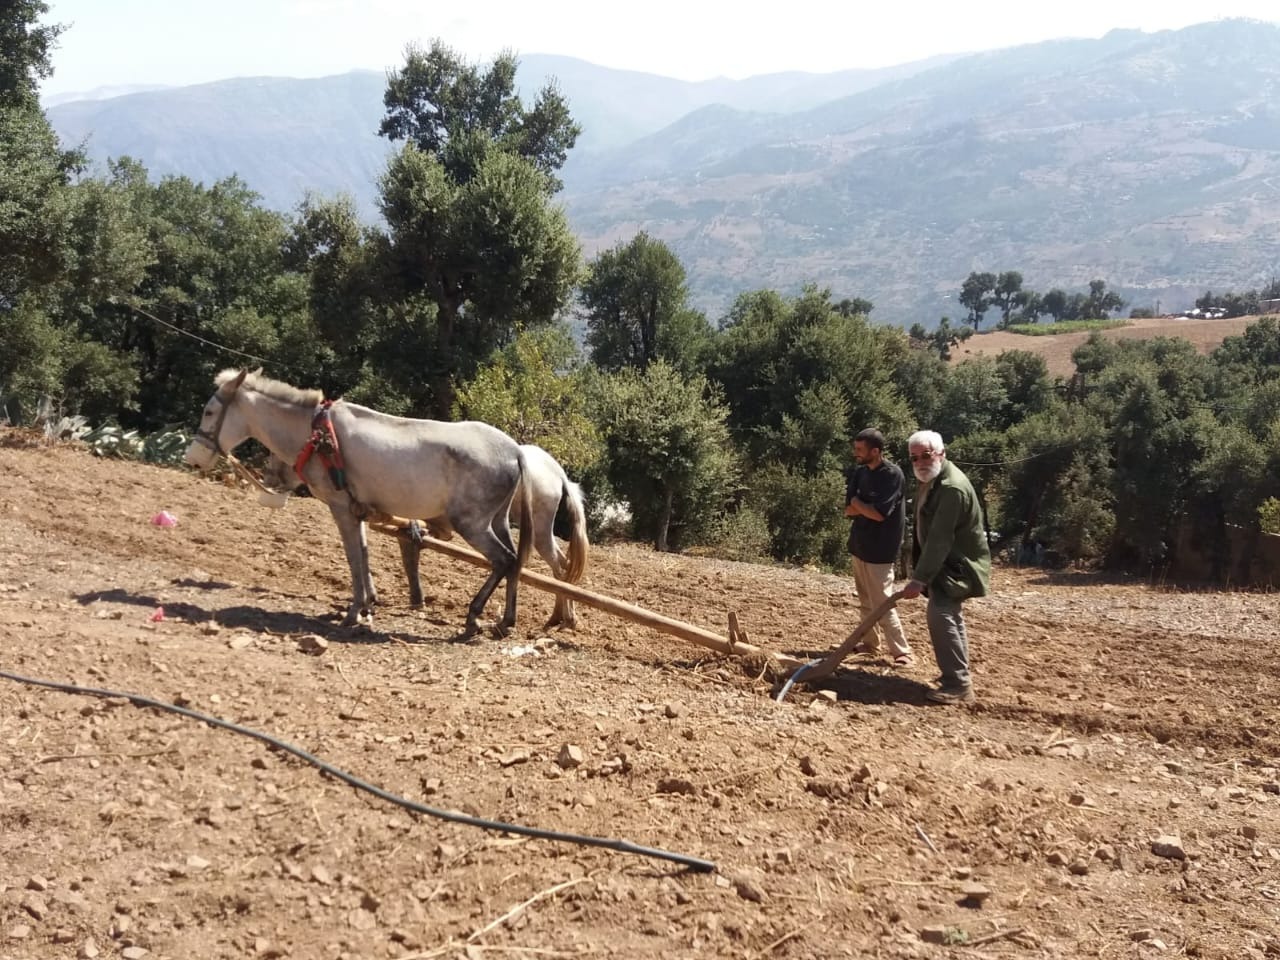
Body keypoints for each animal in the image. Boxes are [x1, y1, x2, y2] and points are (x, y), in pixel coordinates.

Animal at [183, 368, 532, 640]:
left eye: (209, 412)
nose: (193, 459)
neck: (316, 435)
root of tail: (515, 451)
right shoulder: (357, 509)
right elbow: (363, 554)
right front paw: (368, 604)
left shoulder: (339, 507)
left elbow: (352, 556)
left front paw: (353, 612)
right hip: (497, 520)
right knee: (515, 561)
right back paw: (505, 621)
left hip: (471, 523)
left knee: (502, 559)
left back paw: (473, 617)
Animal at [268, 442, 593, 632]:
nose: (271, 476)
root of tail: (559, 474)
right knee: (554, 565)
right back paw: (557, 617)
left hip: (538, 527)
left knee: (558, 566)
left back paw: (563, 618)